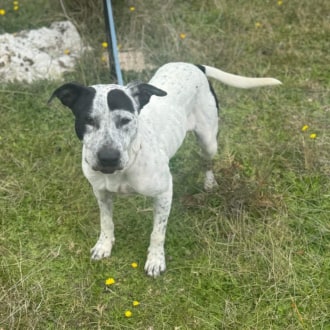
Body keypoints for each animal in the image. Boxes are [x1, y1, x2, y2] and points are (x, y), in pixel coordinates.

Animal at [49, 61, 282, 276]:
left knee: (207, 162)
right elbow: (106, 221)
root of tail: (194, 65)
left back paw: (209, 183)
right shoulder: (101, 192)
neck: (125, 167)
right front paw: (104, 245)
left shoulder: (164, 192)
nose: (108, 158)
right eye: (88, 119)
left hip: (208, 140)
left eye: (125, 120)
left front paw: (155, 260)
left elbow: (157, 233)